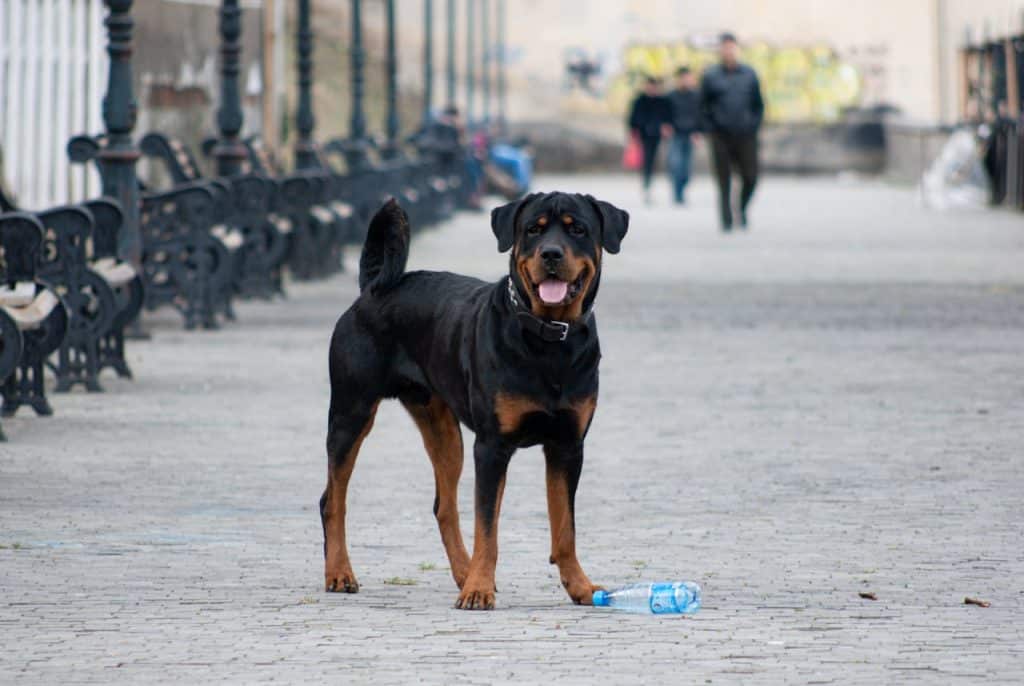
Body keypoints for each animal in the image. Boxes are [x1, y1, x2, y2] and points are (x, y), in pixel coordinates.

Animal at [319, 190, 626, 610]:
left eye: (577, 228)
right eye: (533, 230)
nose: (550, 253)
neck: (548, 341)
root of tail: (371, 289)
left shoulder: (567, 445)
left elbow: (565, 528)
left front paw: (579, 586)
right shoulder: (493, 447)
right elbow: (488, 526)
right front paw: (480, 589)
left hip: (444, 431)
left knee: (444, 506)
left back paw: (463, 573)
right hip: (351, 413)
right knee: (333, 499)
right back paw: (340, 573)